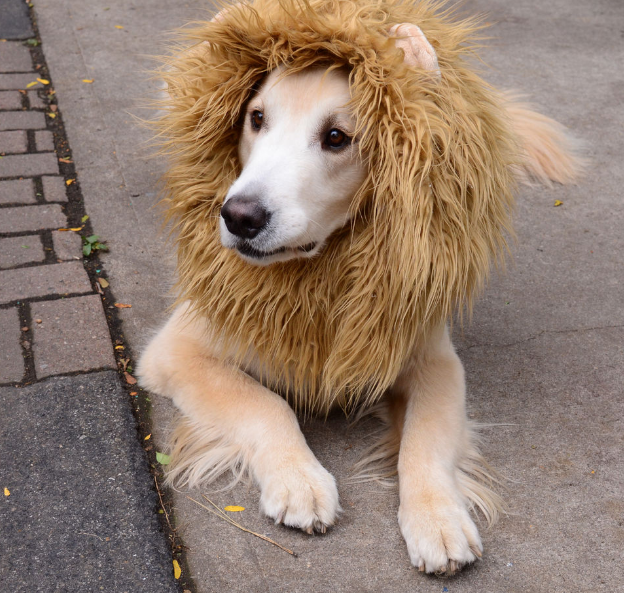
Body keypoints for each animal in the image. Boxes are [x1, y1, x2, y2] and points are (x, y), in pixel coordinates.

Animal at [136, 0, 580, 572]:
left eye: (337, 138)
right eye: (256, 118)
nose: (238, 217)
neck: (318, 273)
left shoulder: (431, 356)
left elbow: (424, 439)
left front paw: (438, 519)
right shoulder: (177, 348)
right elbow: (263, 402)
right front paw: (299, 479)